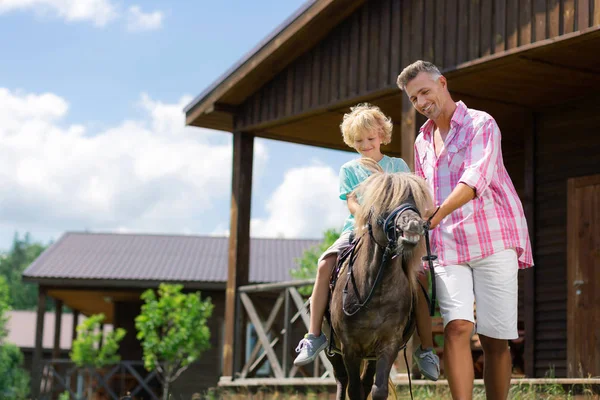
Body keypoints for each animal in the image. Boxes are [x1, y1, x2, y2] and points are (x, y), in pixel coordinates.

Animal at [324, 169, 432, 400]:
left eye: (414, 199)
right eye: (387, 201)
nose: (413, 225)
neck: (376, 290)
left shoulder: (388, 344)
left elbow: (378, 389)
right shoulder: (349, 348)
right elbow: (354, 390)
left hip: (371, 355)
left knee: (365, 383)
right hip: (334, 352)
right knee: (341, 380)